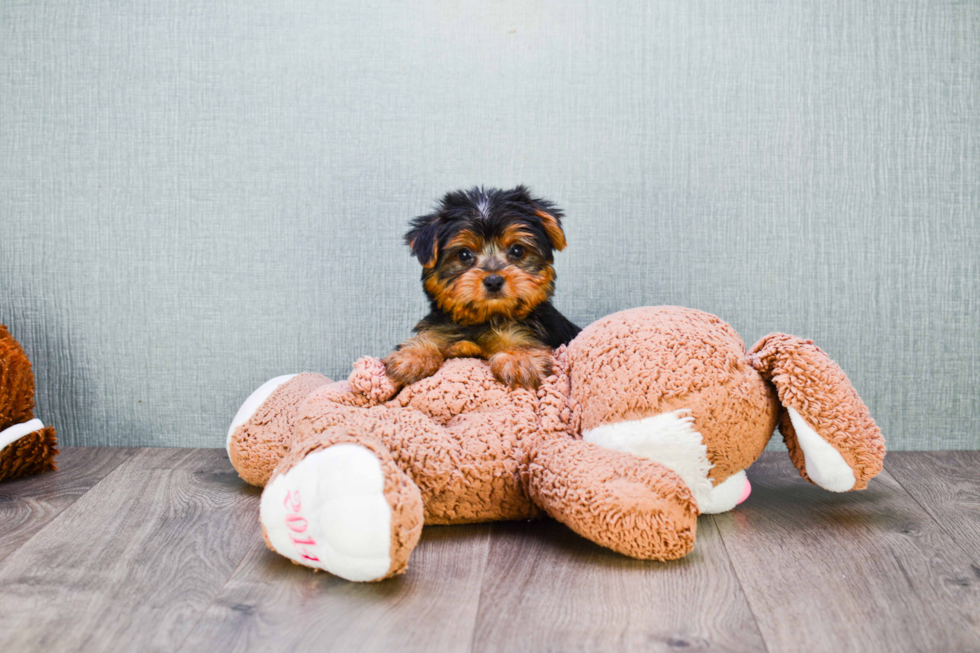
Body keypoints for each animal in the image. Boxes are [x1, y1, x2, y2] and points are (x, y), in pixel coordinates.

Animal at [382, 186, 580, 390]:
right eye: (463, 254)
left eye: (517, 250)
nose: (493, 281)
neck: (485, 318)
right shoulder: (440, 329)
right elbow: (430, 338)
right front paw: (413, 357)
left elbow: (521, 342)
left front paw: (519, 359)